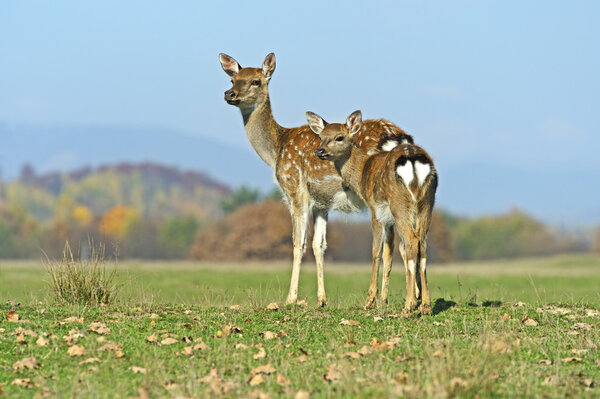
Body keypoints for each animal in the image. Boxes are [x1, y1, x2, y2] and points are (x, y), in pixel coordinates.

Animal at [219, 53, 412, 308]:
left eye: (256, 81)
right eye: (233, 80)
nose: (229, 94)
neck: (277, 150)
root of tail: (399, 139)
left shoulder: (296, 190)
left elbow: (298, 244)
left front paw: (290, 298)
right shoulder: (322, 202)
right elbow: (318, 245)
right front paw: (321, 299)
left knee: (394, 242)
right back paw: (386, 300)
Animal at [310, 109, 436, 316]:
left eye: (339, 137)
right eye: (320, 137)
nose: (320, 151)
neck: (362, 171)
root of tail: (413, 161)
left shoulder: (374, 209)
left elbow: (376, 251)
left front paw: (370, 300)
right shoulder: (388, 217)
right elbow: (390, 253)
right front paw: (383, 301)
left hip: (400, 203)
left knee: (412, 242)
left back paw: (408, 307)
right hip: (427, 201)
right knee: (422, 244)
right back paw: (425, 306)